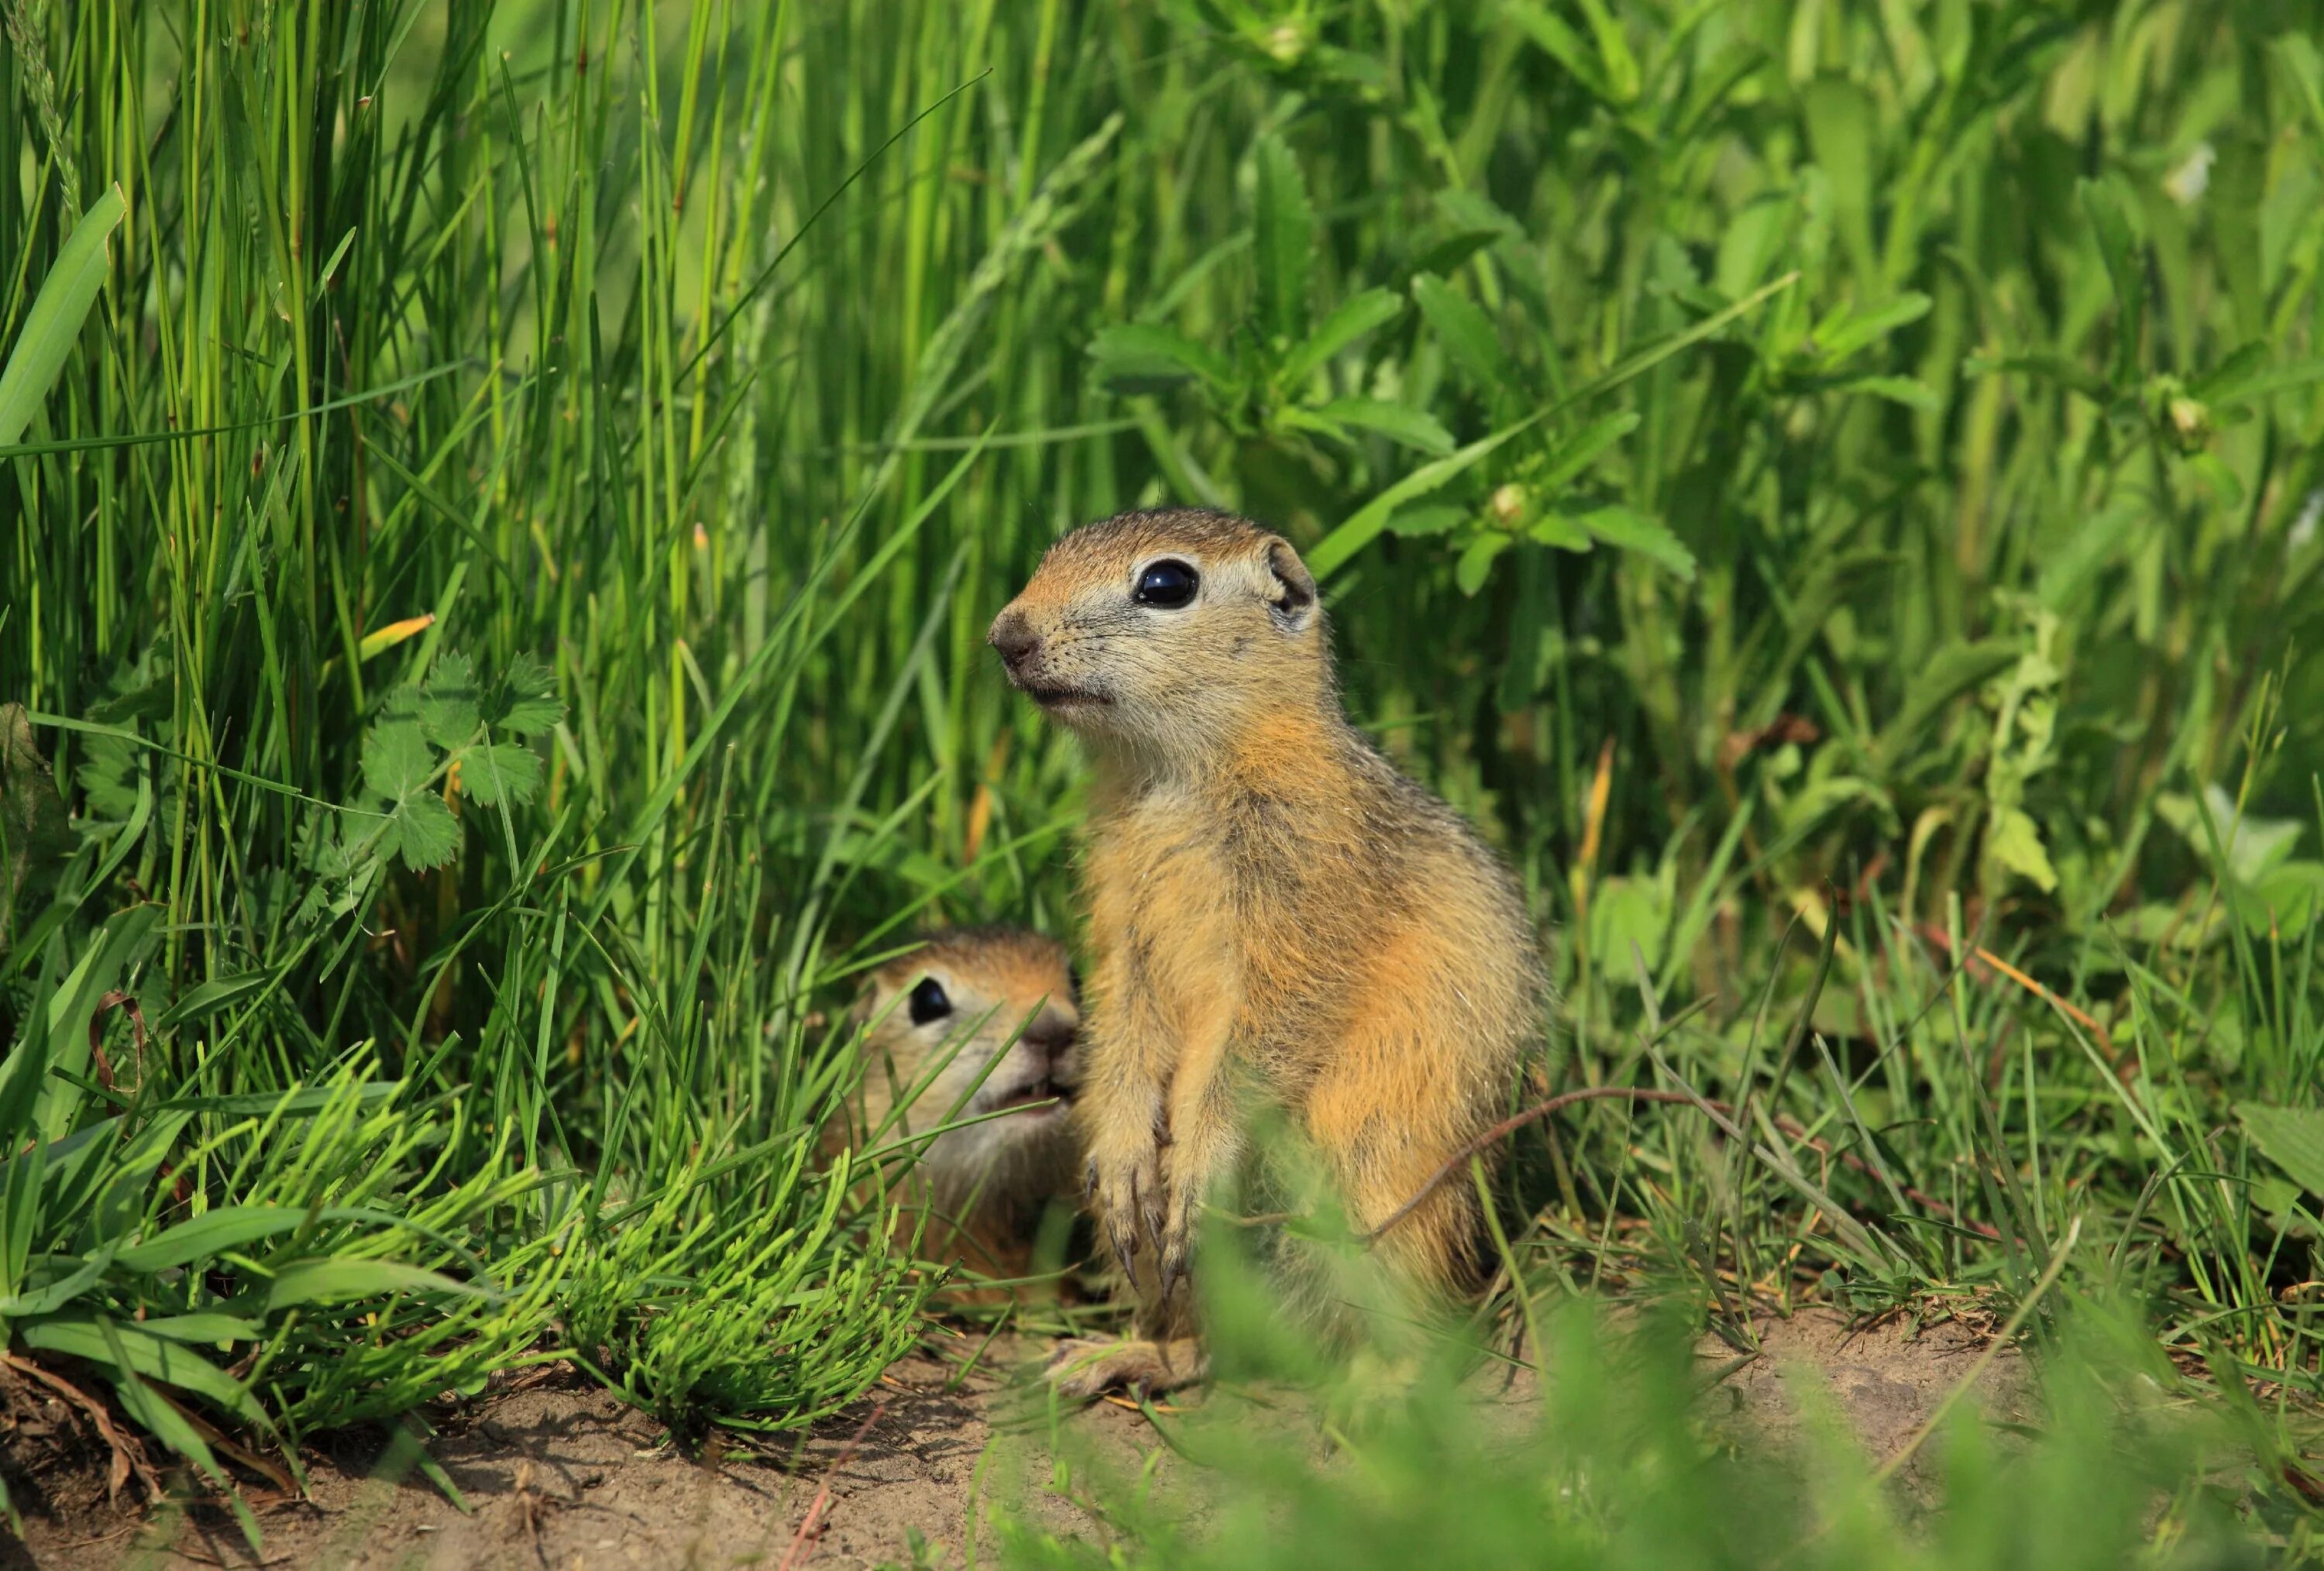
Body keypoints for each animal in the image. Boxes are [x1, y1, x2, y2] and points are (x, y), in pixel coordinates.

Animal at [985, 509, 1543, 1394]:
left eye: (1167, 584)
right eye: (1053, 552)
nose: (1006, 636)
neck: (1174, 776)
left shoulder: (1300, 908)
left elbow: (1261, 1038)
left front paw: (1201, 1155)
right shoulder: (1120, 932)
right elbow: (1123, 1026)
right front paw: (1123, 1151)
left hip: (1382, 1198)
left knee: (1412, 1325)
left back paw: (1378, 1390)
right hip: (1173, 1264)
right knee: (1205, 1337)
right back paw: (1126, 1354)